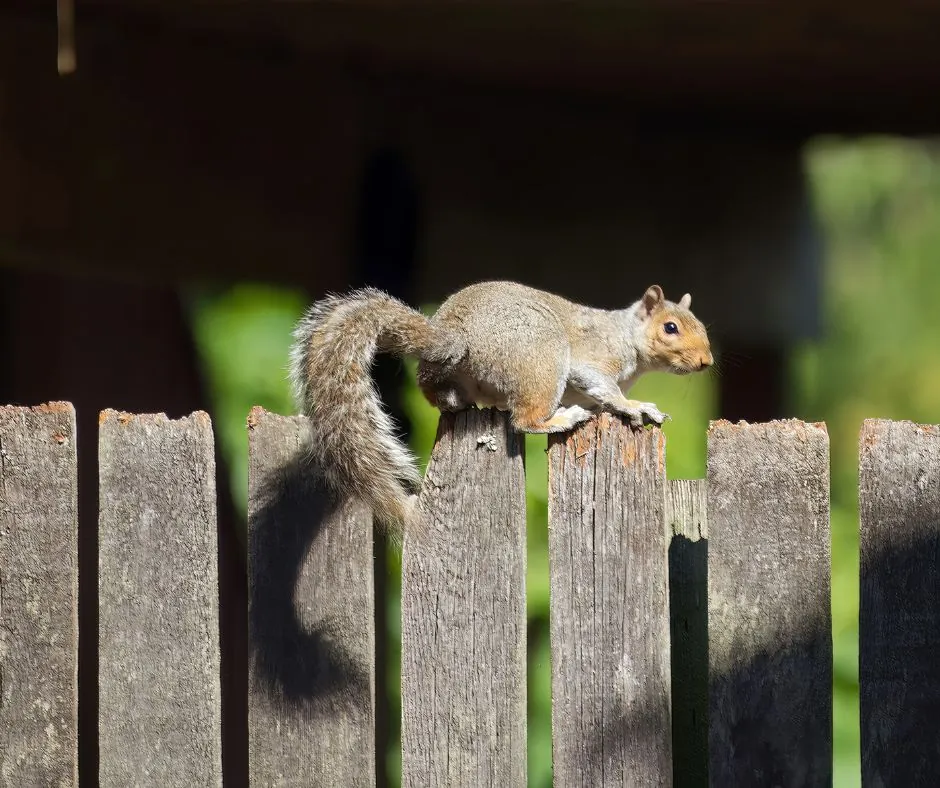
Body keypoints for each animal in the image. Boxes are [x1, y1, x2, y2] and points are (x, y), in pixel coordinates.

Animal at [286, 278, 712, 536]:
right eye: (670, 328)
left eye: (703, 328)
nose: (706, 362)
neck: (627, 337)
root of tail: (456, 336)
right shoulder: (592, 361)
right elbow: (604, 388)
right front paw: (636, 406)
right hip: (543, 358)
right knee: (524, 420)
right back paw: (562, 418)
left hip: (450, 380)